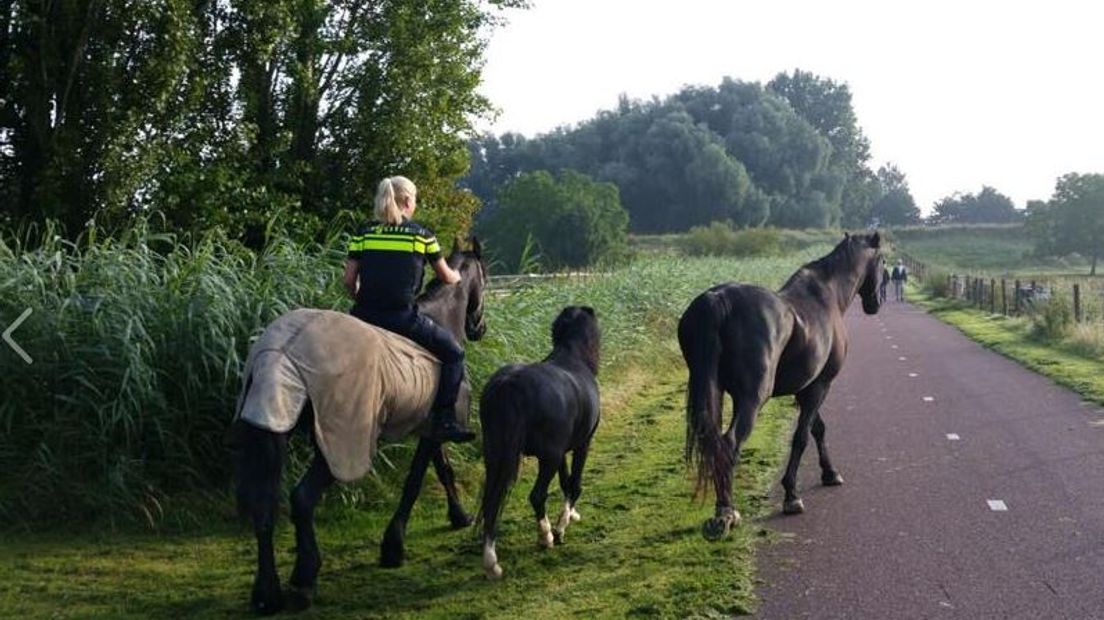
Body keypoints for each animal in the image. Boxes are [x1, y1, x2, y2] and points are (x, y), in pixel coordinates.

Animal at [234, 239, 487, 608]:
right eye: (485, 277)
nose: (479, 328)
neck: (440, 317)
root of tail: (281, 351)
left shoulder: (431, 426)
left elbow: (443, 470)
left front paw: (458, 516)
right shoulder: (433, 428)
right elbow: (415, 481)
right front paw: (393, 546)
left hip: (274, 427)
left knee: (263, 509)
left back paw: (267, 593)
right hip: (338, 440)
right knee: (302, 499)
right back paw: (305, 577)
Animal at [476, 304, 600, 578]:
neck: (572, 359)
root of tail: (508, 384)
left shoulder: (562, 450)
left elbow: (565, 482)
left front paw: (570, 516)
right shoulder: (581, 444)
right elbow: (575, 483)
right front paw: (561, 526)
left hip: (495, 456)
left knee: (490, 502)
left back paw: (491, 563)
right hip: (547, 458)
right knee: (536, 495)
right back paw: (546, 537)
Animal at [675, 230, 883, 536]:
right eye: (882, 262)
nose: (874, 304)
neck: (827, 297)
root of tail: (717, 300)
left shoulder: (806, 388)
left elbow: (817, 429)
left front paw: (829, 473)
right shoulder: (820, 386)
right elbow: (801, 437)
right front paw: (791, 496)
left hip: (713, 392)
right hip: (752, 398)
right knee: (729, 444)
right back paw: (726, 513)